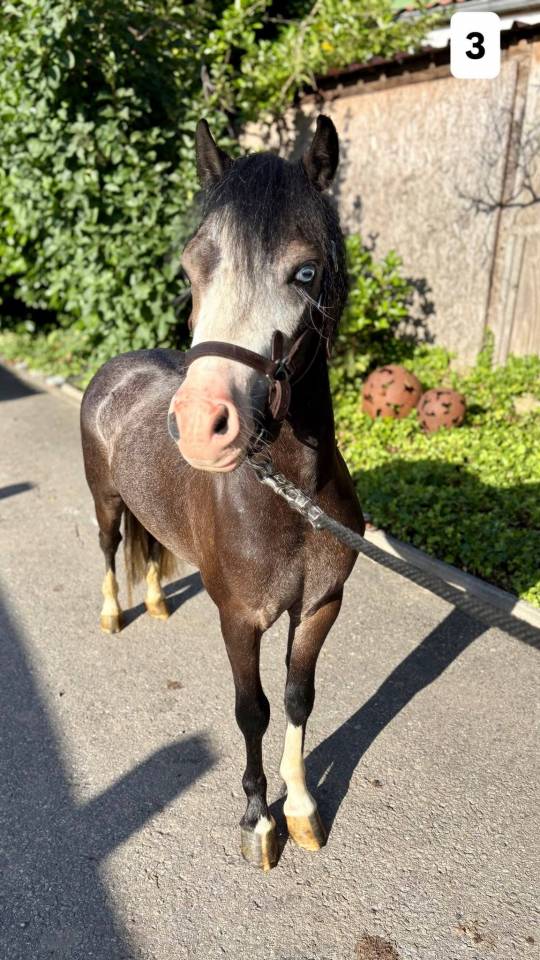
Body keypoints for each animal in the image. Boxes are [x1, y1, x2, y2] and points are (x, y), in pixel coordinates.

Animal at [80, 115, 365, 871]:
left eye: (305, 271)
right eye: (191, 269)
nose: (201, 426)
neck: (290, 498)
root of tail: (116, 370)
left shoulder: (320, 606)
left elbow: (298, 698)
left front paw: (301, 811)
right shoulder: (239, 618)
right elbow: (253, 710)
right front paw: (257, 821)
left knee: (150, 552)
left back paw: (154, 602)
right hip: (106, 503)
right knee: (111, 548)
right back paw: (115, 615)